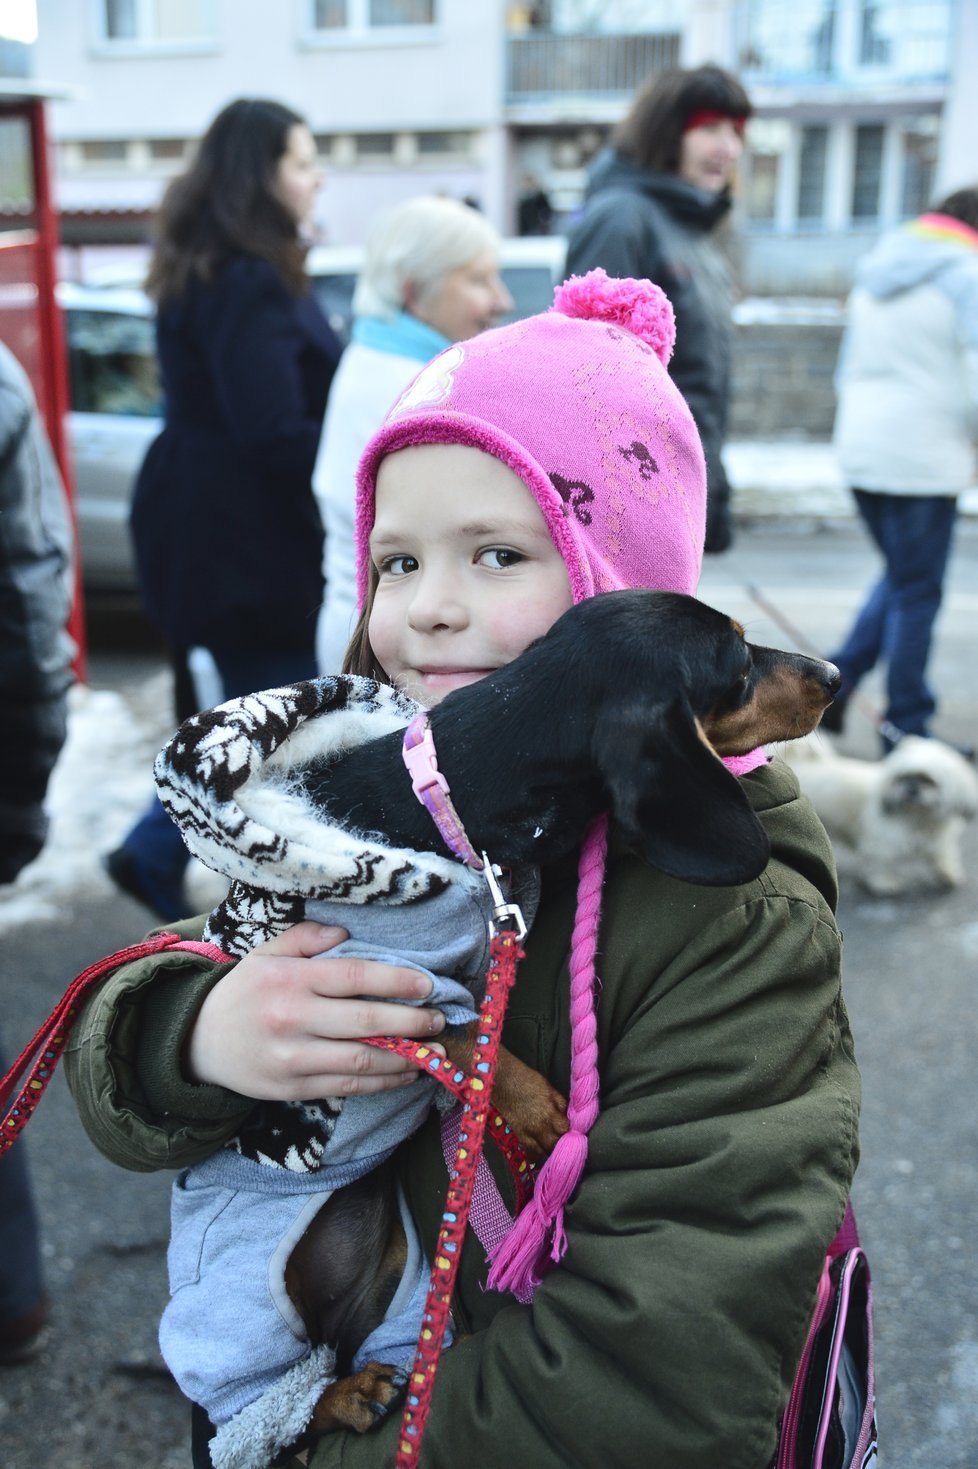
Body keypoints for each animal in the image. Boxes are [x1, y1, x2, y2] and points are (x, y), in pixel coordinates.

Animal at [775, 734, 975, 893]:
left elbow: (942, 855)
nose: (911, 789)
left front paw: (949, 874)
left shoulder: (938, 840)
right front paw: (884, 884)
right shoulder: (882, 842)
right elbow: (880, 863)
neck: (918, 818)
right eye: (903, 777)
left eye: (928, 780)